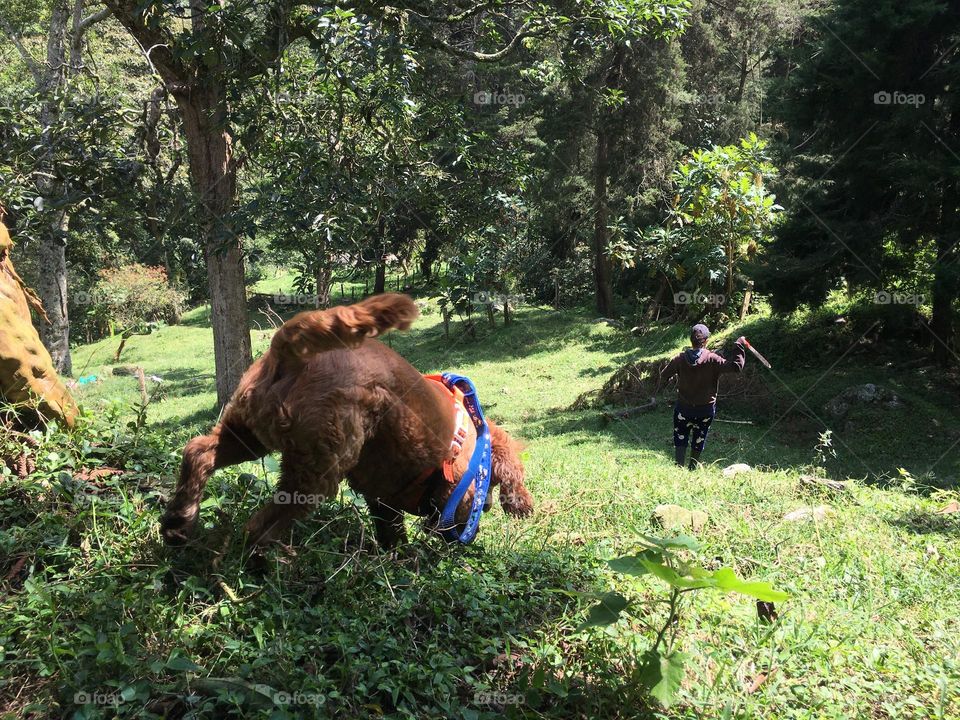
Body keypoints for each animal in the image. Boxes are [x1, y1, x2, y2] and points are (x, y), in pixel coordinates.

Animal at [158, 292, 532, 544]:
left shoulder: (383, 498)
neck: (476, 440)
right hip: (318, 468)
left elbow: (392, 533)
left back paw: (178, 523)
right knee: (260, 525)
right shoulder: (452, 496)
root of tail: (288, 350)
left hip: (246, 434)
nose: (484, 515)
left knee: (199, 452)